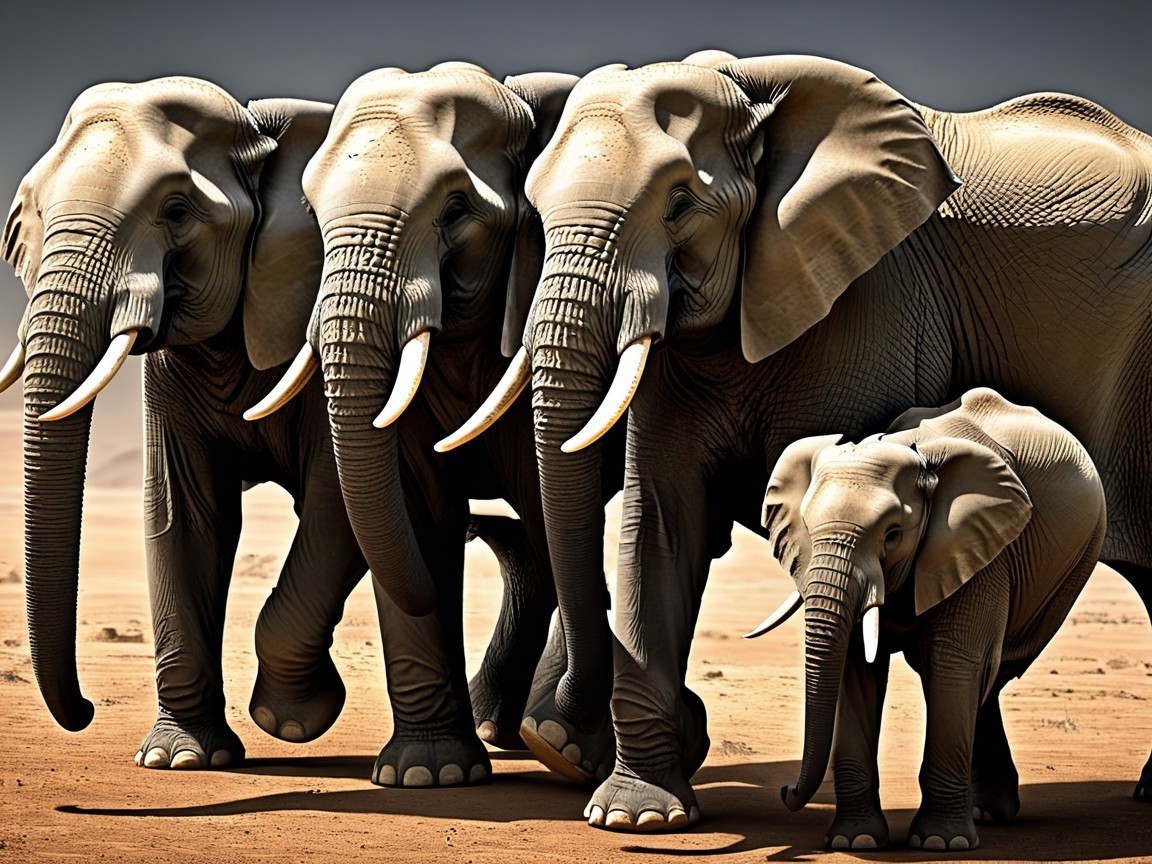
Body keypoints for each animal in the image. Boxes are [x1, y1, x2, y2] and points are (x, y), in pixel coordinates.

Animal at [249, 62, 626, 786]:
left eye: (455, 211)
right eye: (313, 213)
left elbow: (550, 504)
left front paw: (564, 753)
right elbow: (417, 501)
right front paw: (431, 775)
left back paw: (550, 743)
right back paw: (502, 733)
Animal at [749, 387, 1105, 851]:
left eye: (893, 535)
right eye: (808, 527)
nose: (785, 791)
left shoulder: (979, 548)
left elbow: (952, 663)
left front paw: (940, 843)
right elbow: (855, 668)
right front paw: (854, 842)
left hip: (1072, 568)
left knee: (986, 672)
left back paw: (984, 815)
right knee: (983, 682)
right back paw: (986, 812)